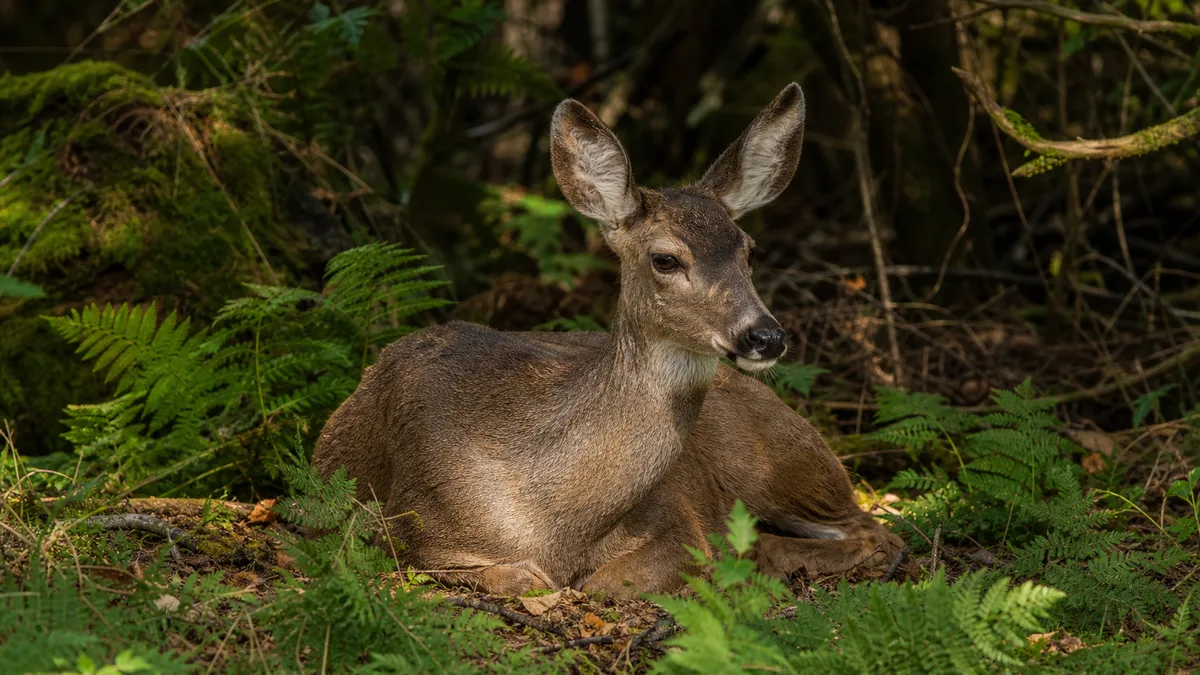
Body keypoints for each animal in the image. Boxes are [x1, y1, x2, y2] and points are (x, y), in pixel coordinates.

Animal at [312, 84, 903, 599]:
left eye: (748, 249)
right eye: (665, 258)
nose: (765, 335)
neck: (549, 513)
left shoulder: (675, 514)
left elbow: (610, 581)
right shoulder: (414, 524)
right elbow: (524, 578)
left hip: (776, 460)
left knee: (879, 533)